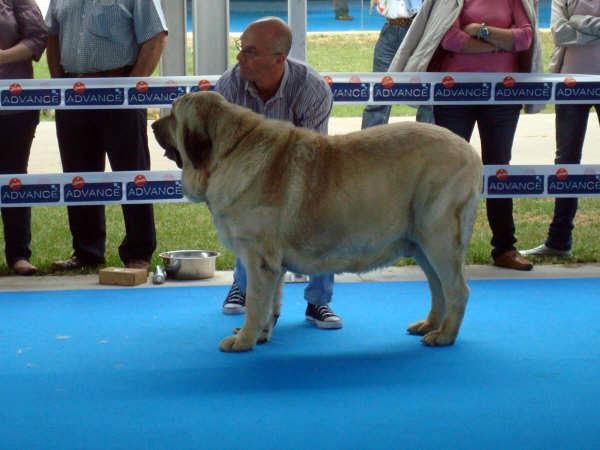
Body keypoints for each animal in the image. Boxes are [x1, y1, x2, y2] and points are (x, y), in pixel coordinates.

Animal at [154, 90, 482, 352]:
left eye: (173, 114)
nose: (154, 124)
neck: (229, 150)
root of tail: (471, 152)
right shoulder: (274, 265)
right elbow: (271, 303)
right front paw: (261, 335)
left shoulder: (259, 260)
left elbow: (256, 305)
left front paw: (243, 341)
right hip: (422, 245)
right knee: (438, 288)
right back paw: (429, 325)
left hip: (438, 238)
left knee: (457, 290)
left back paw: (444, 336)